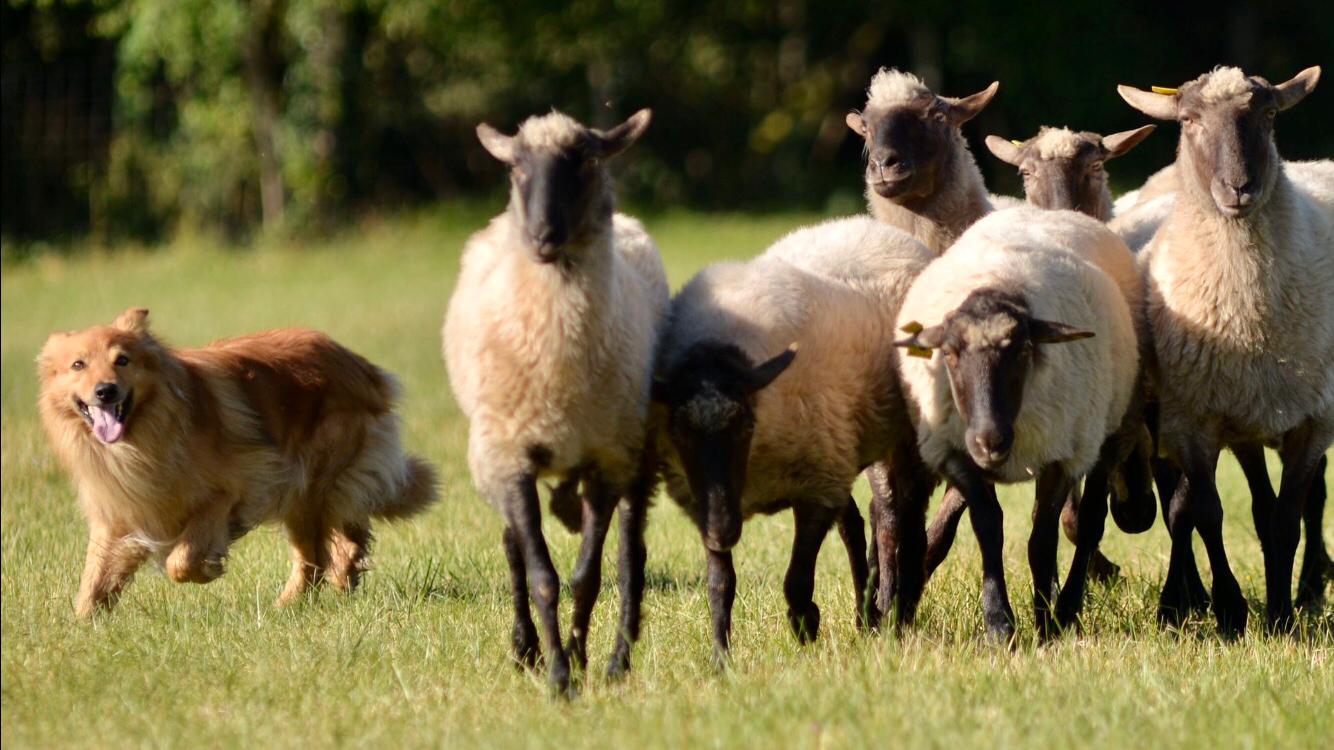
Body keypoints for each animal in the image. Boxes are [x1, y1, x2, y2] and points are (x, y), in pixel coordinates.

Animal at [37, 306, 437, 616]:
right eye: (78, 365)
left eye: (122, 360)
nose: (106, 391)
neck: (142, 439)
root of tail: (362, 366)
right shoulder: (119, 515)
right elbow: (94, 581)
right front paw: (80, 628)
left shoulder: (231, 491)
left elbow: (180, 560)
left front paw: (207, 569)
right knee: (338, 541)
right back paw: (328, 585)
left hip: (308, 486)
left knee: (319, 552)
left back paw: (293, 601)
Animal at [442, 106, 667, 688]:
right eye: (517, 168)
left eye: (585, 161)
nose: (544, 236)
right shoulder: (513, 458)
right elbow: (542, 573)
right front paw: (559, 676)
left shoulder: (608, 460)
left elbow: (587, 576)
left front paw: (580, 660)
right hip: (496, 451)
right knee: (513, 550)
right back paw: (526, 649)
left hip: (631, 453)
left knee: (630, 557)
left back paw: (615, 661)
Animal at [891, 206, 1141, 640]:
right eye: (949, 353)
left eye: (1023, 349)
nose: (989, 440)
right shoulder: (957, 453)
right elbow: (988, 528)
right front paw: (999, 625)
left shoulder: (1060, 456)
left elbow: (1042, 541)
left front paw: (1047, 624)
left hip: (1102, 433)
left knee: (1089, 523)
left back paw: (1067, 607)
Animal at [1115, 67, 1334, 632]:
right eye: (1189, 119)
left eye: (1269, 114)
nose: (1239, 188)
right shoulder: (1196, 418)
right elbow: (1208, 514)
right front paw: (1230, 611)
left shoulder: (1311, 420)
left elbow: (1287, 519)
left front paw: (1280, 614)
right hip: (1243, 414)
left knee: (1305, 503)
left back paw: (1306, 589)